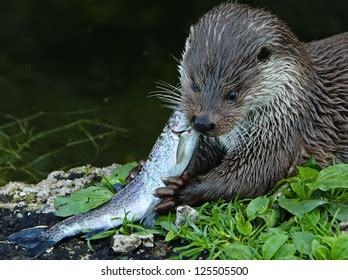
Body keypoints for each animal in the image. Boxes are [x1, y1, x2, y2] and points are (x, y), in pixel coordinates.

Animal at [153, 2, 348, 212]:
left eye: (232, 94)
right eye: (195, 84)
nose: (203, 122)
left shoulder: (280, 136)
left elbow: (249, 176)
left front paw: (181, 190)